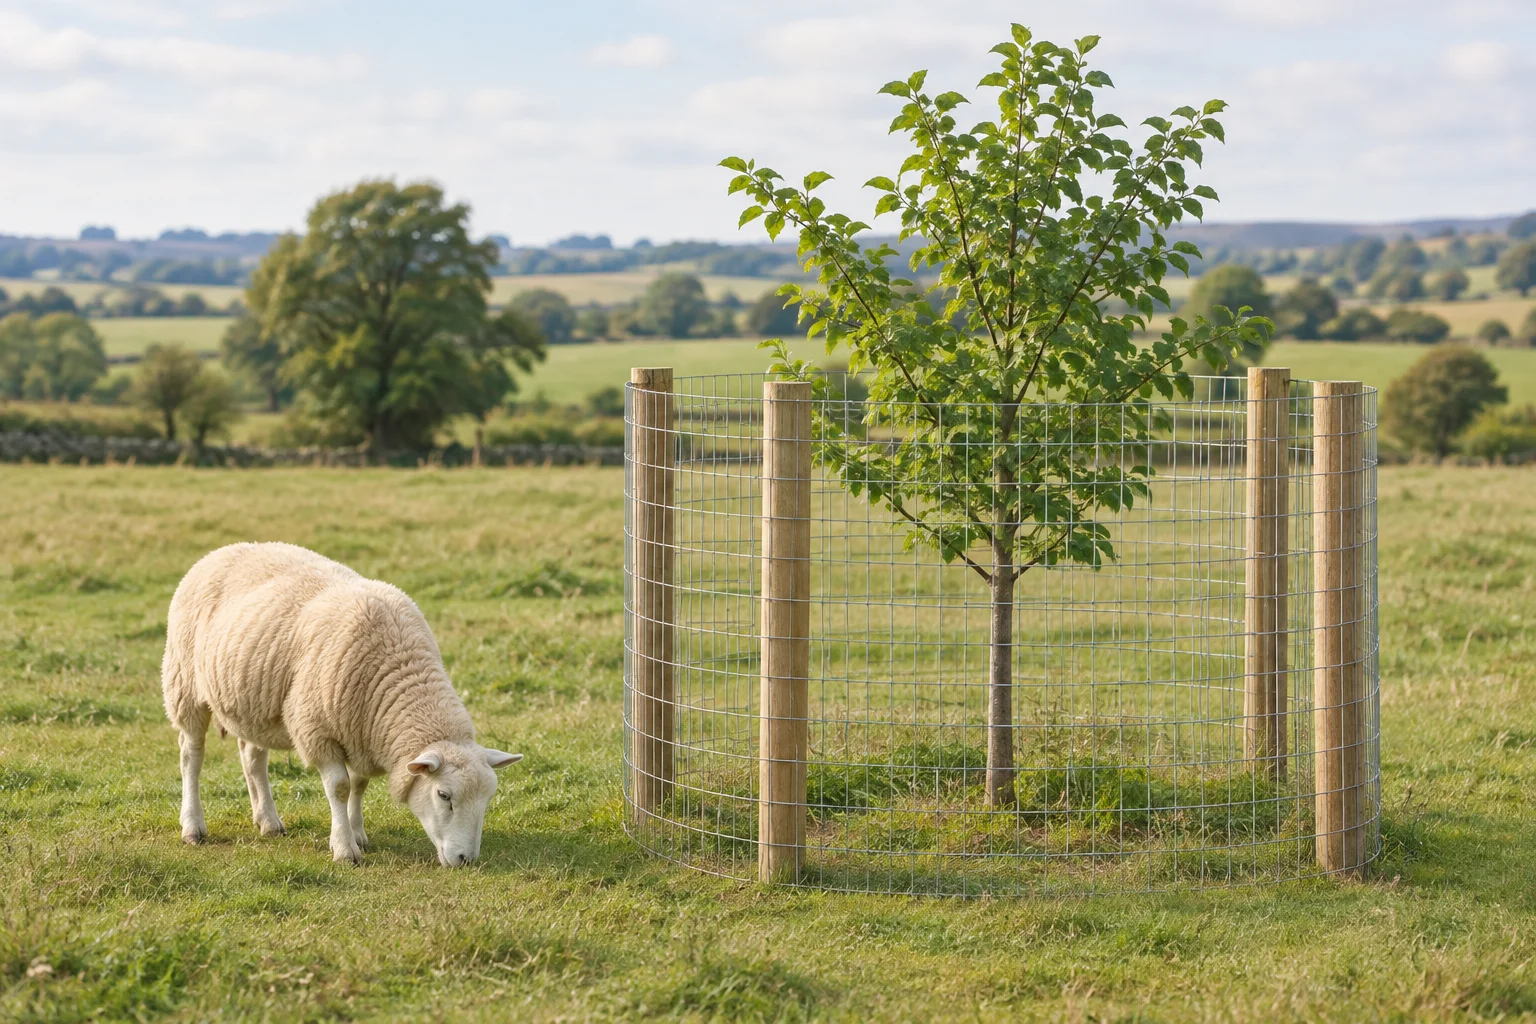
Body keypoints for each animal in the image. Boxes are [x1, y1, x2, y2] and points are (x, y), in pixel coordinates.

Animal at [161, 542, 521, 866]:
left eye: (488, 798)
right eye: (443, 795)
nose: (465, 859)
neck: (398, 664)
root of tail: (224, 549)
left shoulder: (362, 732)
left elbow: (359, 784)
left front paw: (357, 833)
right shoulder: (317, 729)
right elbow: (340, 787)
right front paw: (345, 849)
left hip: (253, 702)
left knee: (253, 759)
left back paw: (268, 821)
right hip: (184, 684)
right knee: (191, 755)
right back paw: (193, 827)